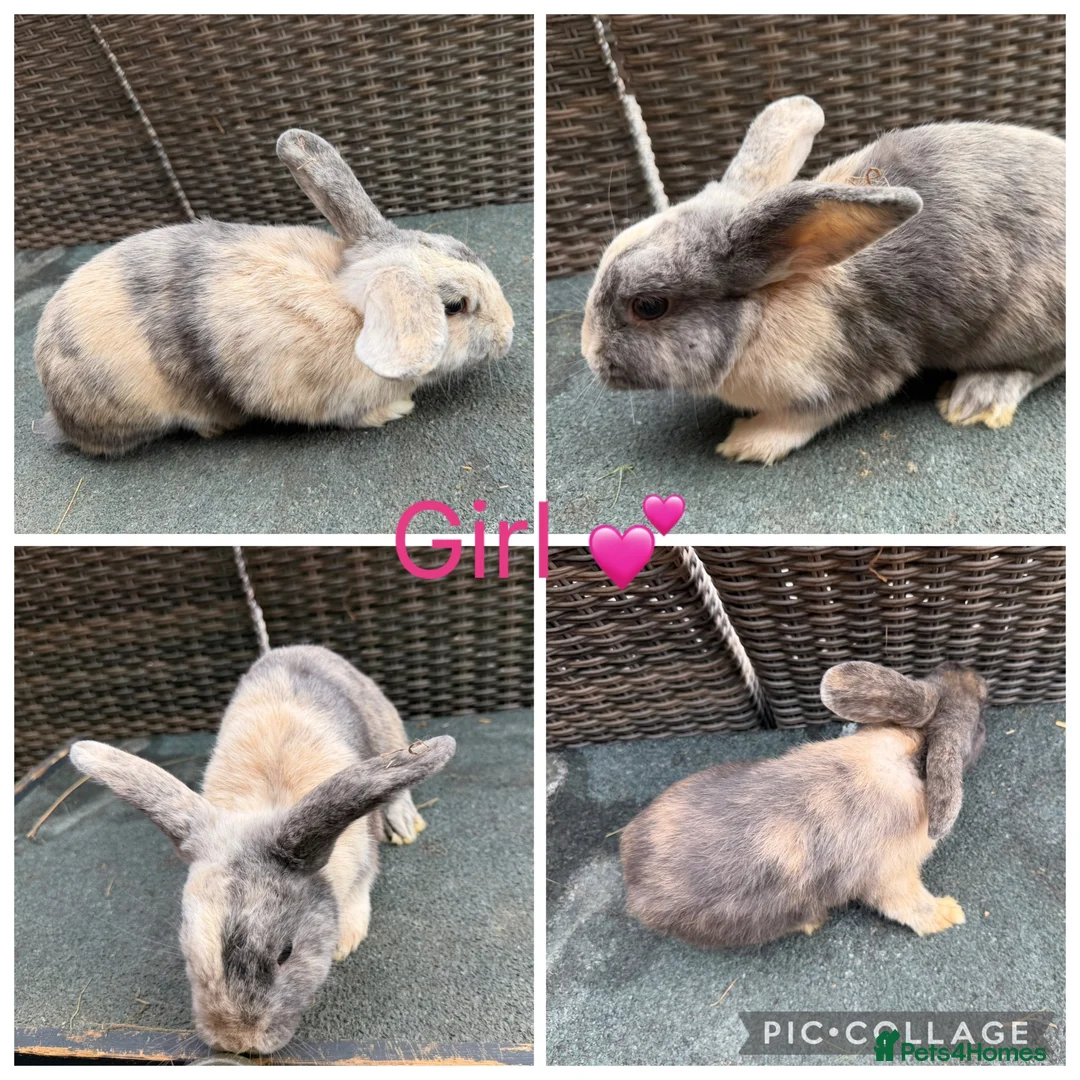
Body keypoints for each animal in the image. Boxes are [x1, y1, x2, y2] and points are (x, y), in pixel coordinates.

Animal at [68, 645, 456, 1054]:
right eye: (188, 949)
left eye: (286, 952)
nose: (238, 1042)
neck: (268, 805)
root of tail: (296, 649)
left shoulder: (362, 851)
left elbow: (359, 890)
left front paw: (346, 941)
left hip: (386, 731)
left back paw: (403, 823)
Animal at [581, 95, 1064, 464]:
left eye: (648, 306)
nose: (589, 355)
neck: (763, 313)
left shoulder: (851, 373)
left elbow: (804, 417)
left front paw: (746, 443)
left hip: (1024, 320)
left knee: (1041, 363)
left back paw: (976, 400)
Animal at [620, 661, 987, 948]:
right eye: (980, 724)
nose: (974, 674)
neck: (913, 753)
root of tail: (631, 873)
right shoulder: (891, 876)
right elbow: (911, 905)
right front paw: (949, 914)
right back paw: (813, 921)